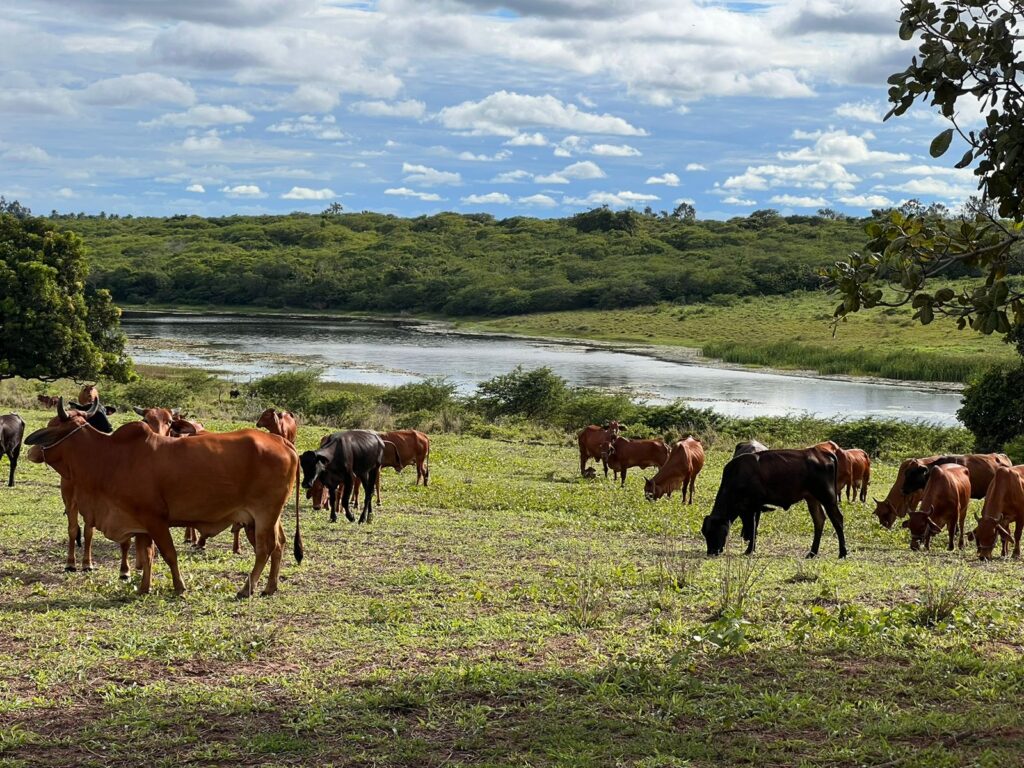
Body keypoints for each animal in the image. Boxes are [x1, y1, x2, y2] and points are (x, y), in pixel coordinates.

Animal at [25, 411, 299, 598]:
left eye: (51, 427)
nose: (31, 451)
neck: (110, 457)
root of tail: (281, 442)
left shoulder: (155, 520)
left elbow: (168, 554)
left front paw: (179, 587)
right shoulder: (140, 524)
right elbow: (147, 556)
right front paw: (144, 587)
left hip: (264, 515)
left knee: (265, 549)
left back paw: (246, 589)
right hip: (263, 519)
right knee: (278, 547)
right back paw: (270, 587)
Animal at [700, 444, 843, 561]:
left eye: (713, 532)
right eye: (705, 533)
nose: (711, 552)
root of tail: (821, 452)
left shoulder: (751, 507)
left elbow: (752, 528)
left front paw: (749, 550)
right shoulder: (747, 509)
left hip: (828, 497)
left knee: (838, 520)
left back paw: (842, 553)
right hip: (812, 498)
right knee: (819, 520)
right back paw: (812, 553)